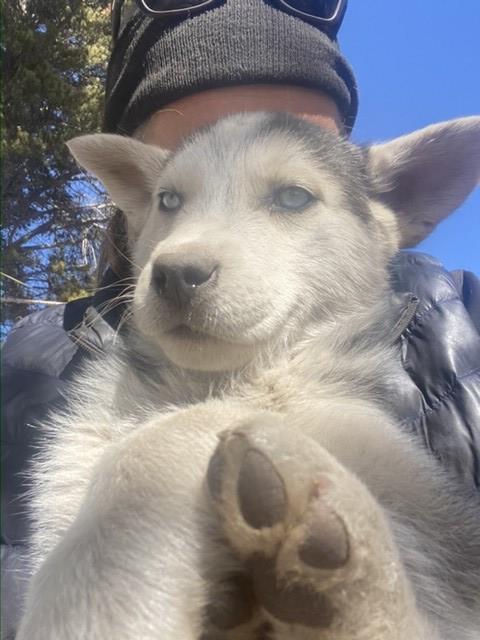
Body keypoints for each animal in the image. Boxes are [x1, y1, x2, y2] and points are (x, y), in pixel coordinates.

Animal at [15, 112, 480, 636]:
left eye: (294, 197)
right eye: (168, 200)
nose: (175, 275)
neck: (225, 378)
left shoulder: (429, 527)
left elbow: (175, 430)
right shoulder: (67, 475)